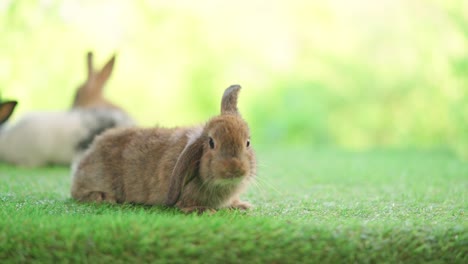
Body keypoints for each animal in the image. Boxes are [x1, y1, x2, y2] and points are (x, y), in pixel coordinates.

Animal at [70, 85, 256, 213]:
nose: (234, 169)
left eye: (247, 142)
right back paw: (104, 198)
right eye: (211, 143)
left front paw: (243, 206)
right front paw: (206, 211)